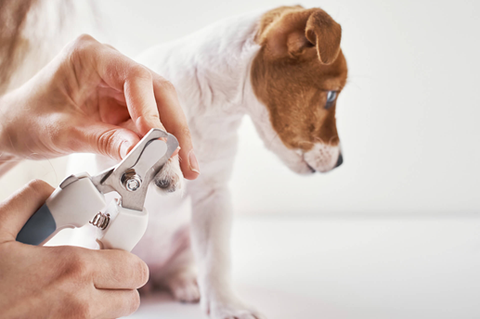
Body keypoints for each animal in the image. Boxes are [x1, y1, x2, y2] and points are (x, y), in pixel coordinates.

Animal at [118, 5, 346, 319]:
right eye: (332, 95)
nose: (341, 162)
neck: (210, 107)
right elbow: (141, 126)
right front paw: (165, 160)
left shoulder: (213, 197)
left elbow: (215, 258)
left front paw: (226, 305)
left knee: (179, 268)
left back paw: (186, 282)